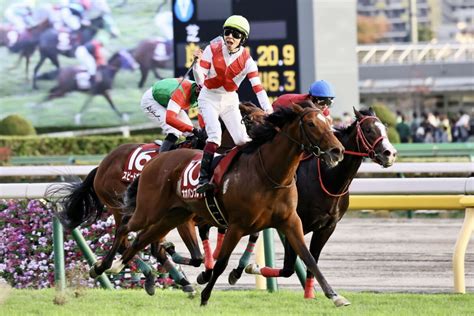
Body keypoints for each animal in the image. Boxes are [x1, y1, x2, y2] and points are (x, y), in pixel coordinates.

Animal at [89, 105, 348, 308]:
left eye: (329, 123)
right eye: (312, 124)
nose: (337, 151)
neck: (268, 173)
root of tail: (155, 161)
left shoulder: (290, 221)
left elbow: (309, 258)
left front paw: (335, 296)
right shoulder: (236, 224)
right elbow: (220, 262)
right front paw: (205, 295)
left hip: (173, 216)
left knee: (143, 240)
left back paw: (128, 269)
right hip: (149, 211)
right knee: (125, 229)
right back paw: (103, 266)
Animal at [232, 107, 396, 300]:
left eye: (385, 128)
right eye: (369, 130)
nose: (390, 153)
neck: (328, 178)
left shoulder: (326, 227)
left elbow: (312, 259)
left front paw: (310, 294)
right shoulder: (295, 223)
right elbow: (288, 268)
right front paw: (253, 267)